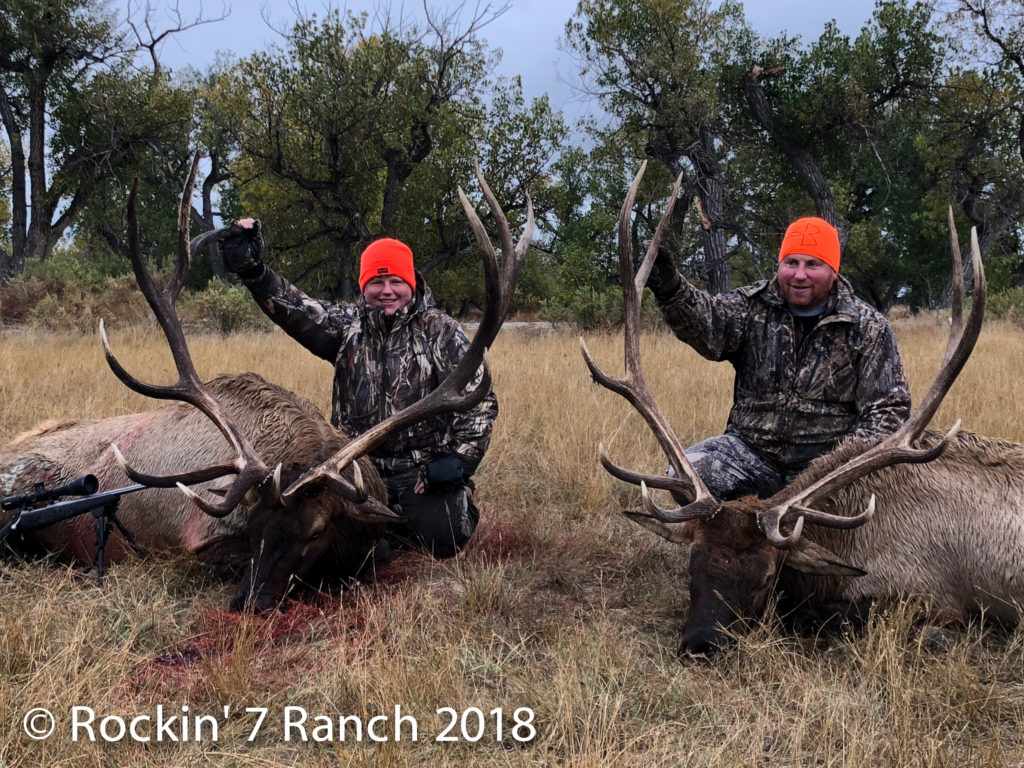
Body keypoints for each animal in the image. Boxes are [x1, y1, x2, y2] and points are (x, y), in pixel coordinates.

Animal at [585, 162, 1007, 655]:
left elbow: (824, 614)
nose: (699, 644)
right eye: (693, 562)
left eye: (767, 576)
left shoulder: (935, 596)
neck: (850, 542)